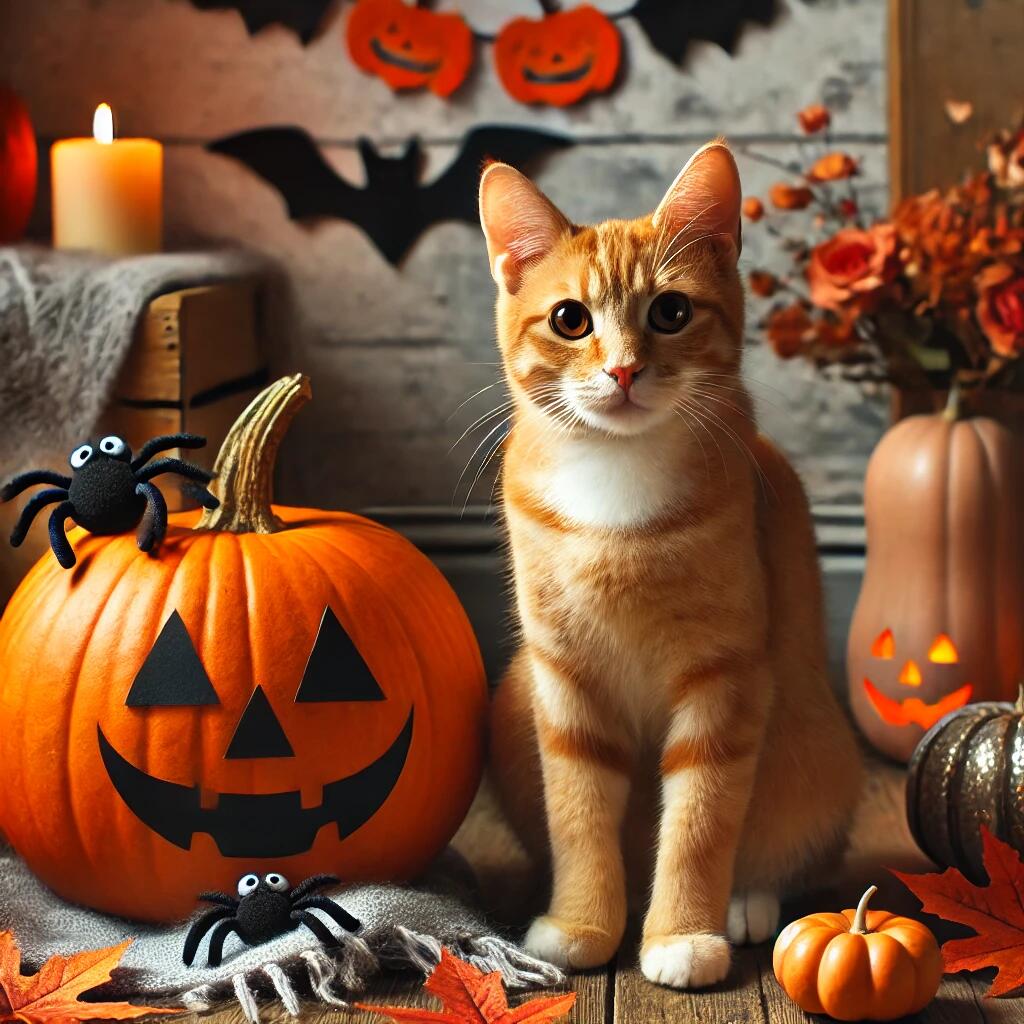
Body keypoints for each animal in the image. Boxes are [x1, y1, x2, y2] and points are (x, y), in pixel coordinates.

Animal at [479, 140, 864, 987]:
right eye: (571, 319)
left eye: (671, 313)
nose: (623, 370)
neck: (616, 490)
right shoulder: (563, 680)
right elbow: (578, 812)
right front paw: (582, 923)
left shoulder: (726, 678)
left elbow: (699, 818)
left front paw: (683, 935)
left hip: (814, 746)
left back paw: (747, 901)